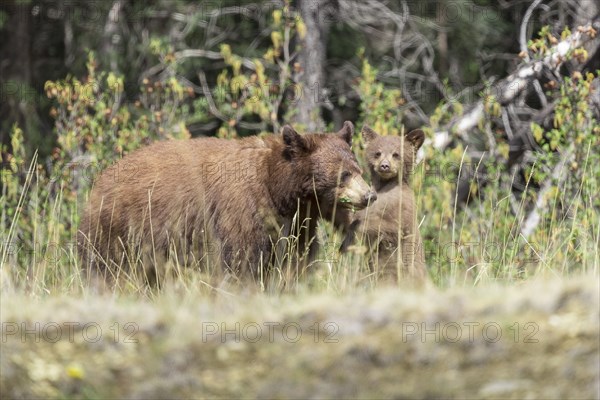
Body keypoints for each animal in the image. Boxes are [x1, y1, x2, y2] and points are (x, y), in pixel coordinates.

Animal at [77, 122, 372, 282]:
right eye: (344, 174)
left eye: (358, 169)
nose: (369, 195)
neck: (279, 189)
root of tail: (101, 179)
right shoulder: (243, 207)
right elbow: (242, 256)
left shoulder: (298, 218)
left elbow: (296, 256)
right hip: (118, 229)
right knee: (106, 267)